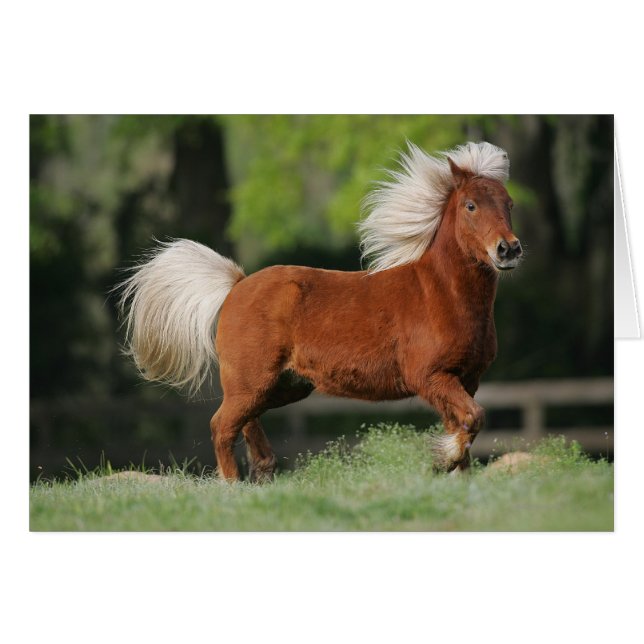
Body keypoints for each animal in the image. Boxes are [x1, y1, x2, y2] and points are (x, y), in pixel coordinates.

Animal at [117, 141, 522, 481]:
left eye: (510, 204)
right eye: (470, 205)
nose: (509, 249)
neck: (439, 295)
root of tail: (236, 285)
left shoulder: (466, 379)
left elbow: (465, 424)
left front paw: (457, 476)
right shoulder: (431, 377)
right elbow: (473, 418)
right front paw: (443, 460)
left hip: (282, 386)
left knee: (245, 422)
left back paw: (263, 471)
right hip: (252, 381)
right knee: (222, 426)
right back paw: (233, 486)